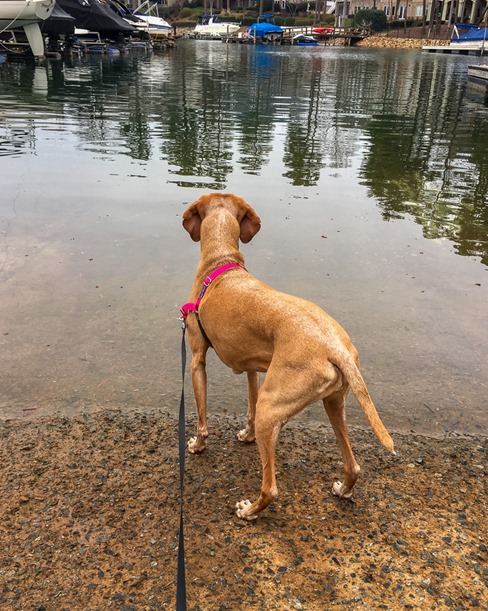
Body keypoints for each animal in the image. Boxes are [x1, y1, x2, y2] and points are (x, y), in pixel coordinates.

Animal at [181, 194, 394, 520]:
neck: (221, 262)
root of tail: (335, 347)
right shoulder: (252, 368)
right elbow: (249, 406)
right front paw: (246, 435)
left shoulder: (196, 360)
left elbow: (202, 417)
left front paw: (197, 445)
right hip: (333, 403)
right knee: (353, 464)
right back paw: (343, 489)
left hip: (273, 407)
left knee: (271, 487)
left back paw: (249, 510)